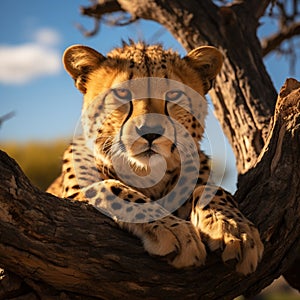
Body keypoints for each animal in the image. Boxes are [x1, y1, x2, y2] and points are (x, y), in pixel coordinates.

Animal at [47, 41, 262, 274]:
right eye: (122, 93)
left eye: (174, 95)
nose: (149, 132)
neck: (147, 172)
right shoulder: (75, 196)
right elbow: (114, 188)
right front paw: (175, 230)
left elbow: (211, 189)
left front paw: (234, 227)